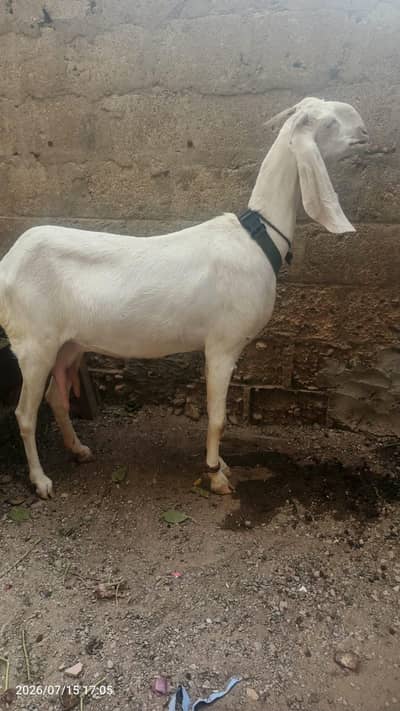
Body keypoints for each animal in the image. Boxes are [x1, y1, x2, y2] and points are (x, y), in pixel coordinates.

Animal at [0, 97, 368, 499]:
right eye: (329, 123)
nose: (365, 132)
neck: (257, 238)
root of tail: (7, 263)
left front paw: (221, 465)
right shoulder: (223, 344)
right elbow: (219, 417)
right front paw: (216, 475)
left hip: (69, 343)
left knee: (56, 397)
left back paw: (79, 449)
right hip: (34, 343)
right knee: (24, 414)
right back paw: (41, 481)